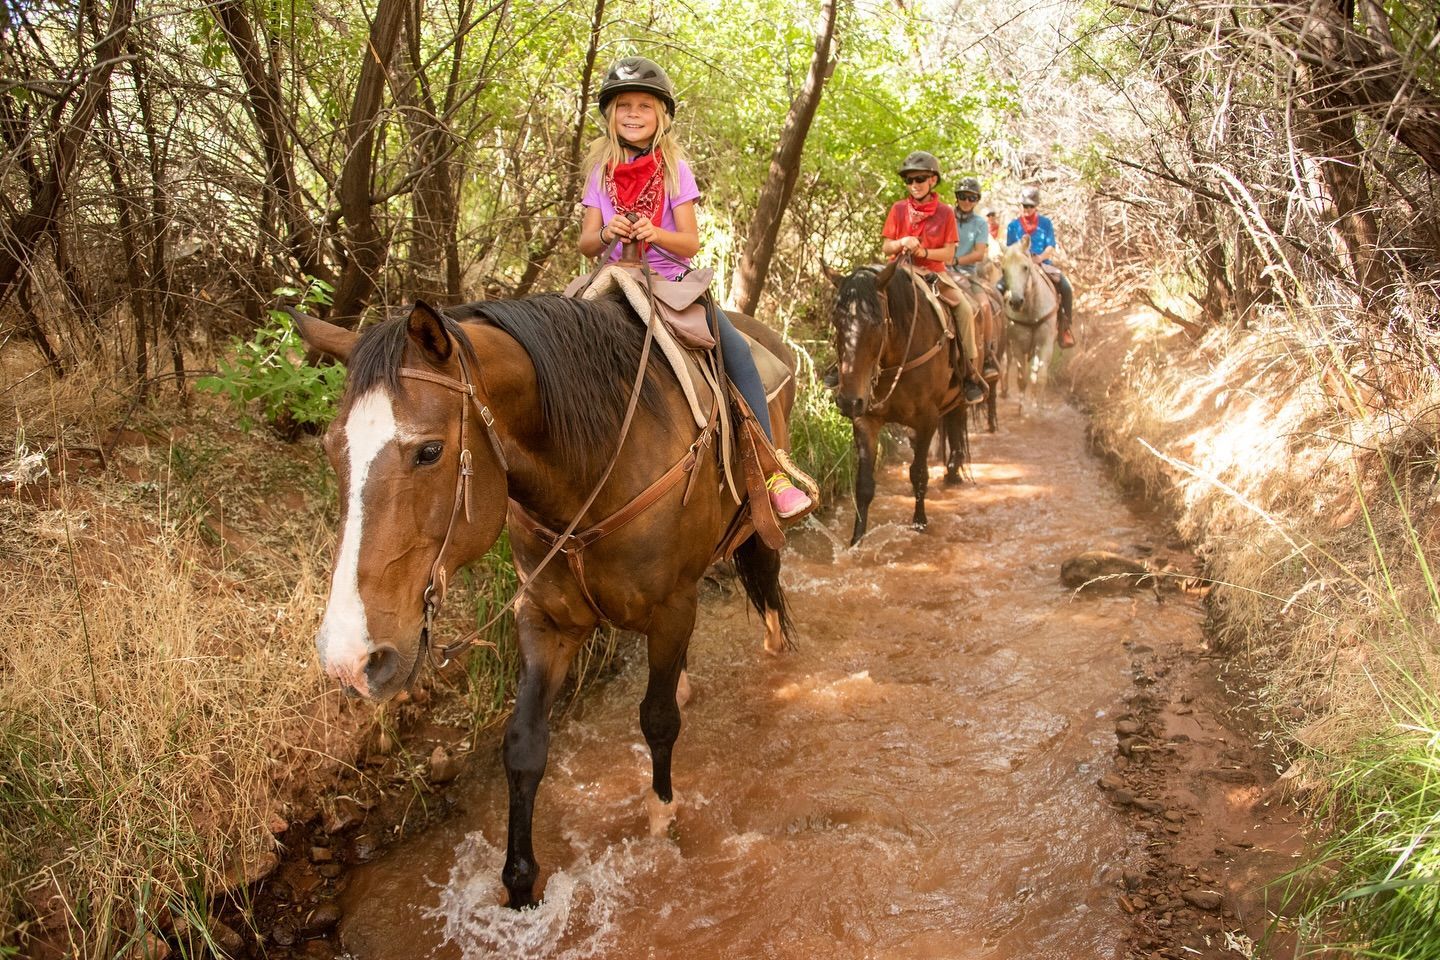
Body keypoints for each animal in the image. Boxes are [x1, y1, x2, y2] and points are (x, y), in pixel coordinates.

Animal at [295, 295, 798, 909]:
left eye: (430, 451)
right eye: (331, 450)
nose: (349, 657)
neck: (593, 465)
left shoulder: (672, 606)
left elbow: (657, 721)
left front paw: (661, 819)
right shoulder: (545, 620)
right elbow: (524, 745)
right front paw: (519, 885)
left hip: (758, 523)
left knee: (767, 580)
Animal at [827, 260, 969, 546]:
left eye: (876, 323)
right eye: (836, 321)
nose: (848, 401)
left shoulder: (927, 420)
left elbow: (919, 473)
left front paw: (919, 523)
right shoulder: (865, 418)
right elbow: (864, 484)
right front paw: (856, 540)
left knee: (957, 421)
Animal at [997, 235, 1058, 416]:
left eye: (1025, 267)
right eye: (1003, 270)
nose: (1016, 301)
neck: (1032, 311)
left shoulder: (1045, 344)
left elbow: (1040, 377)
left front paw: (1038, 407)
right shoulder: (1017, 344)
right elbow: (1021, 378)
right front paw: (1023, 409)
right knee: (1006, 361)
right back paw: (1004, 390)